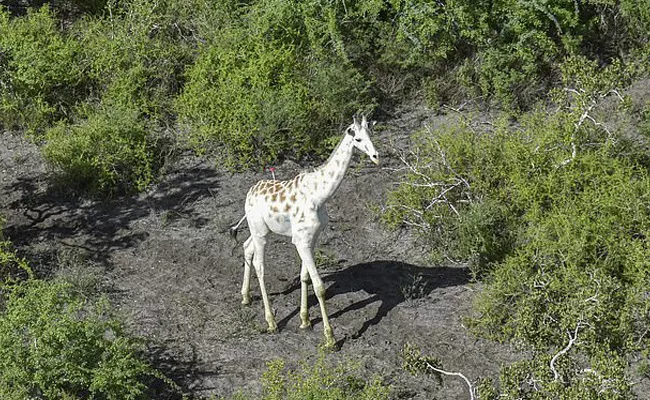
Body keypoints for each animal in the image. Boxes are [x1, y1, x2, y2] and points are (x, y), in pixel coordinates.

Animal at [229, 115, 378, 346]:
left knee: (246, 247)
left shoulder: (311, 238)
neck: (319, 195)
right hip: (260, 233)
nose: (376, 156)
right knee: (260, 266)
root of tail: (249, 194)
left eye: (371, 135)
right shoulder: (302, 240)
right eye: (358, 139)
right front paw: (330, 339)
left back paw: (245, 297)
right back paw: (271, 322)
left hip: (260, 230)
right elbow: (319, 287)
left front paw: (305, 321)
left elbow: (304, 278)